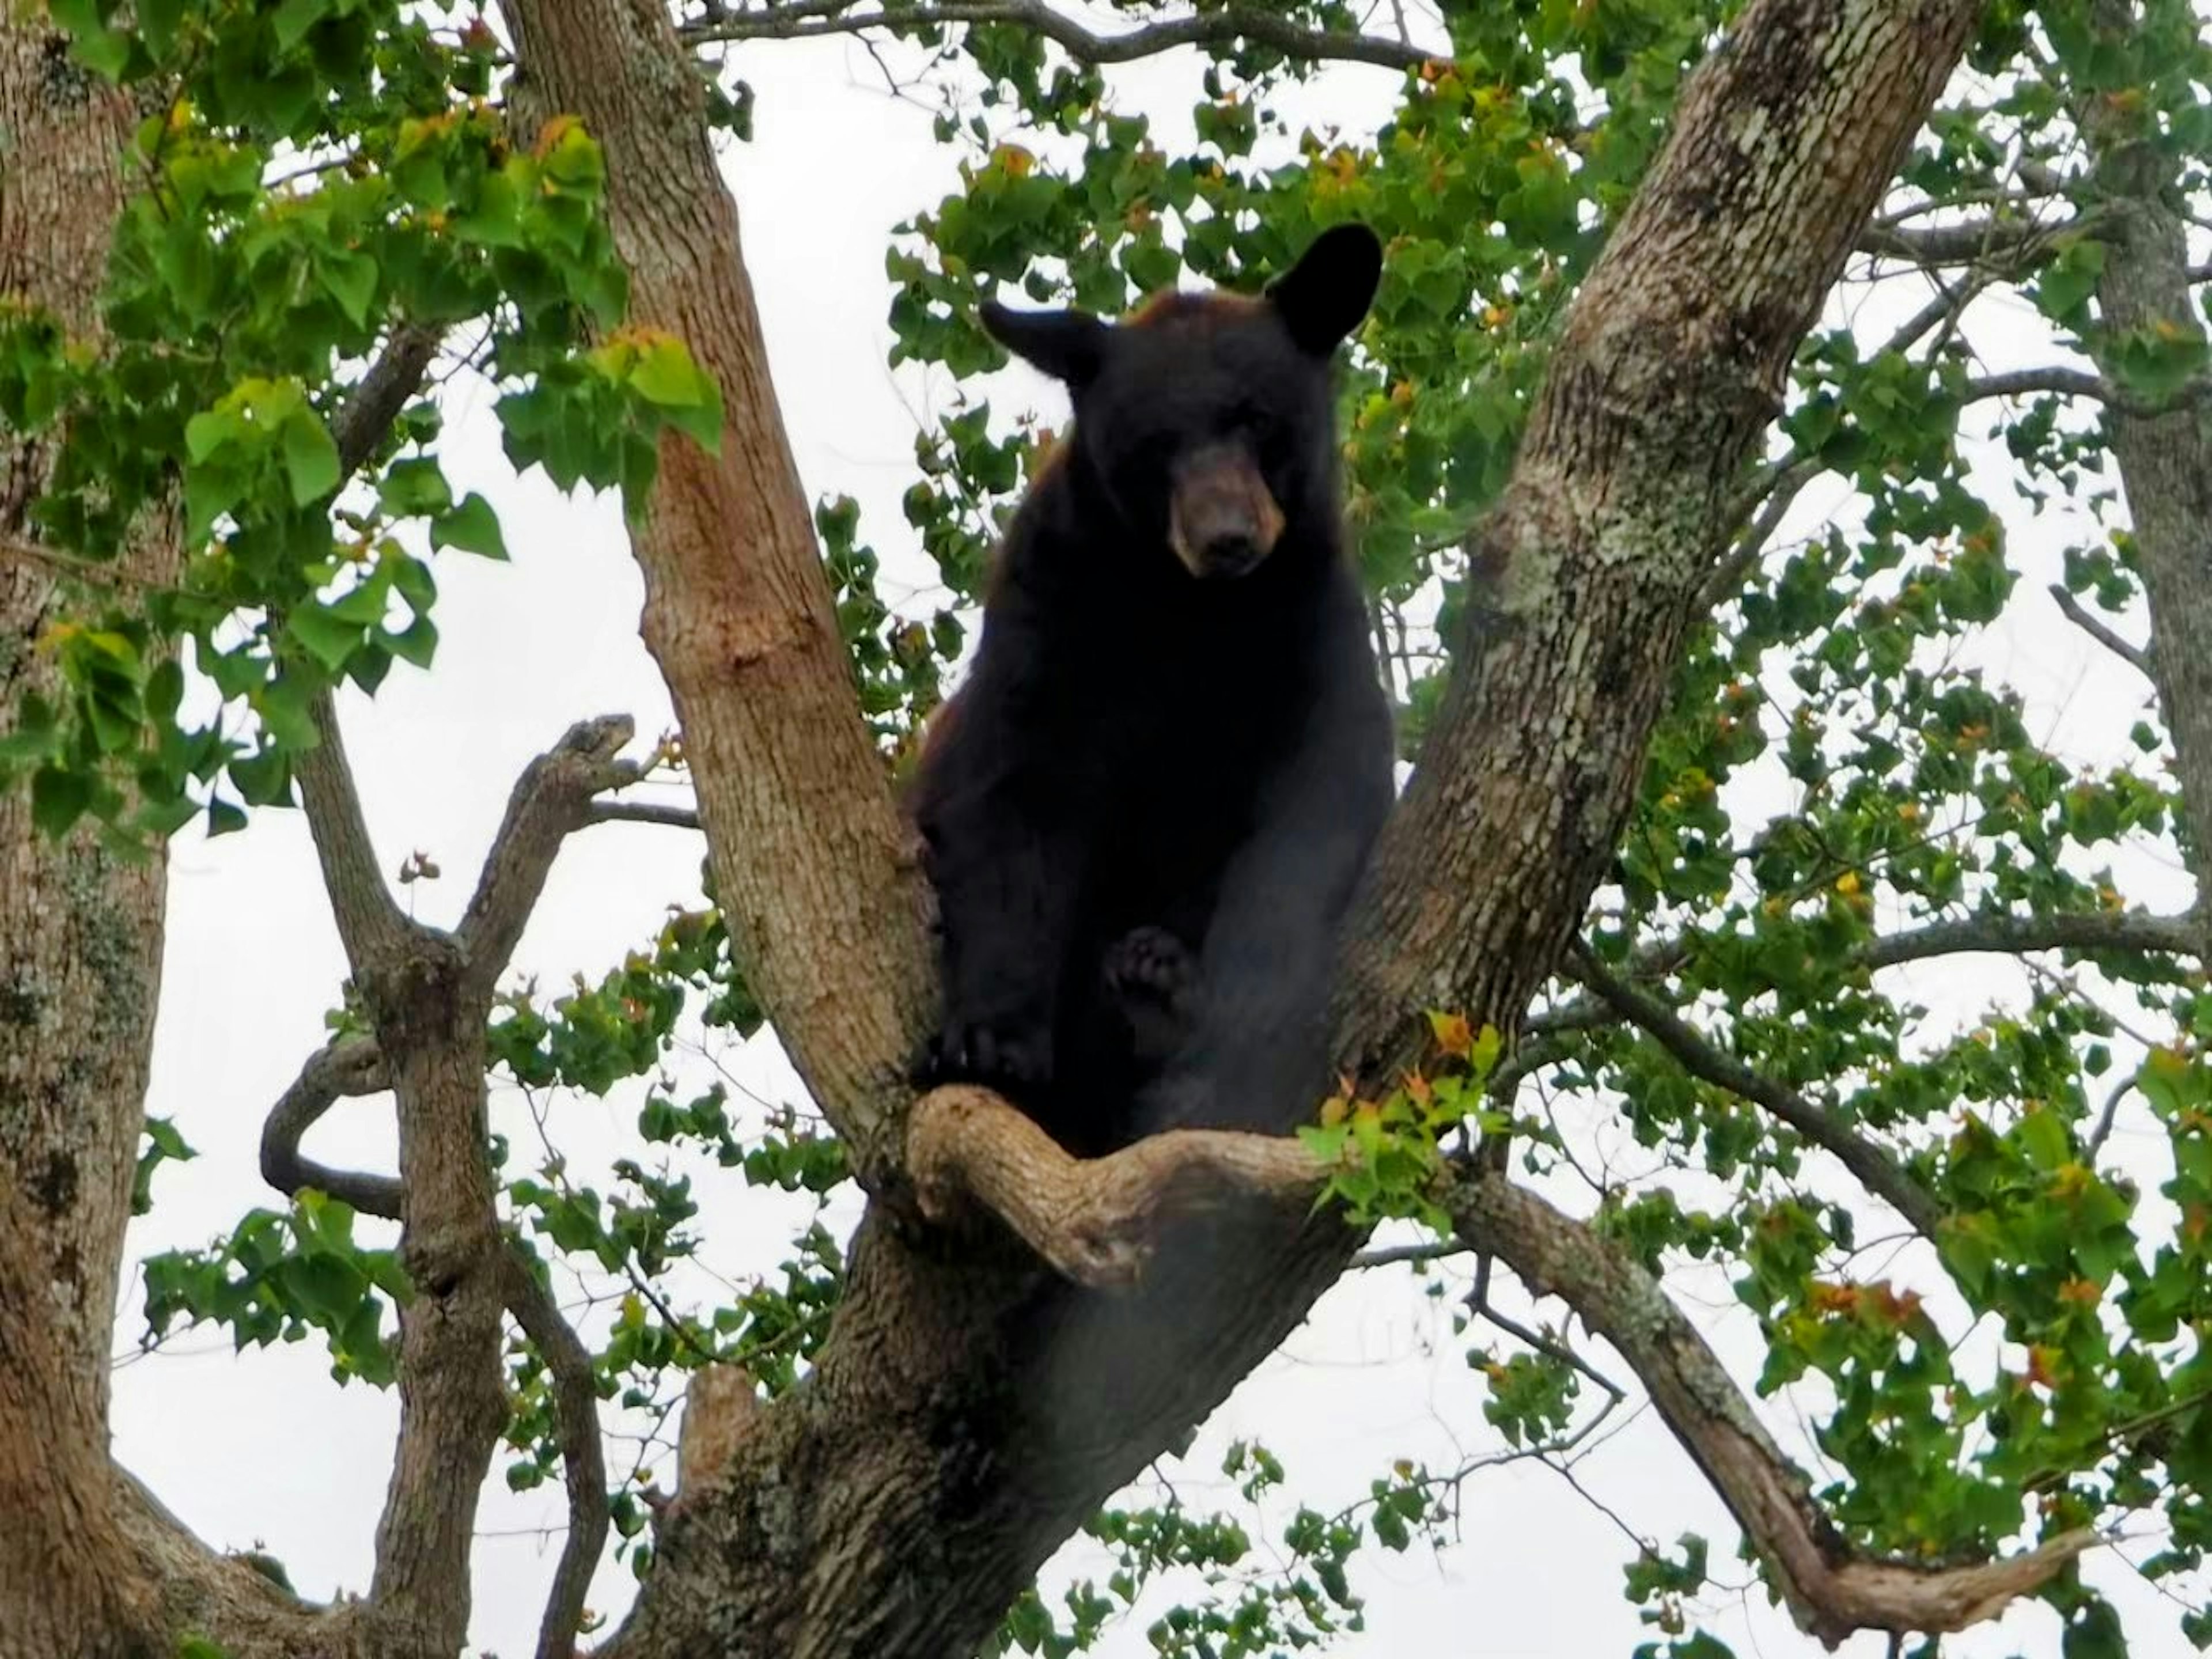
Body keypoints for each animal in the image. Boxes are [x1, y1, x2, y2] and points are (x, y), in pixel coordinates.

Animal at [907, 221, 1389, 1159]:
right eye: (1154, 443)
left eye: (1257, 418)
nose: (1228, 537)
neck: (1192, 611)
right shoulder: (1054, 616)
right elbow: (1015, 790)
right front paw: (991, 1041)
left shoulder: (1312, 635)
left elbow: (1316, 812)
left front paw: (1222, 1010)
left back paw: (1156, 982)